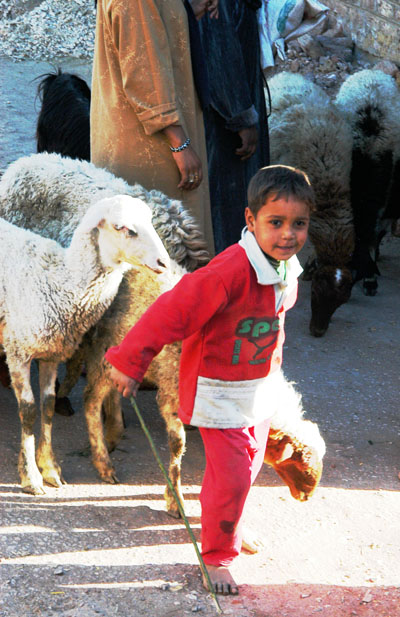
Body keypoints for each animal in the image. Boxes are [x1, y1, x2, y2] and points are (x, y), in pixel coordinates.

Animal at [0, 195, 170, 494]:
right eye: (122, 227)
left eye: (150, 220)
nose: (163, 262)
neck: (60, 279)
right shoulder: (18, 350)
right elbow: (29, 411)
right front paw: (31, 476)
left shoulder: (52, 353)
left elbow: (47, 405)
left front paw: (50, 469)